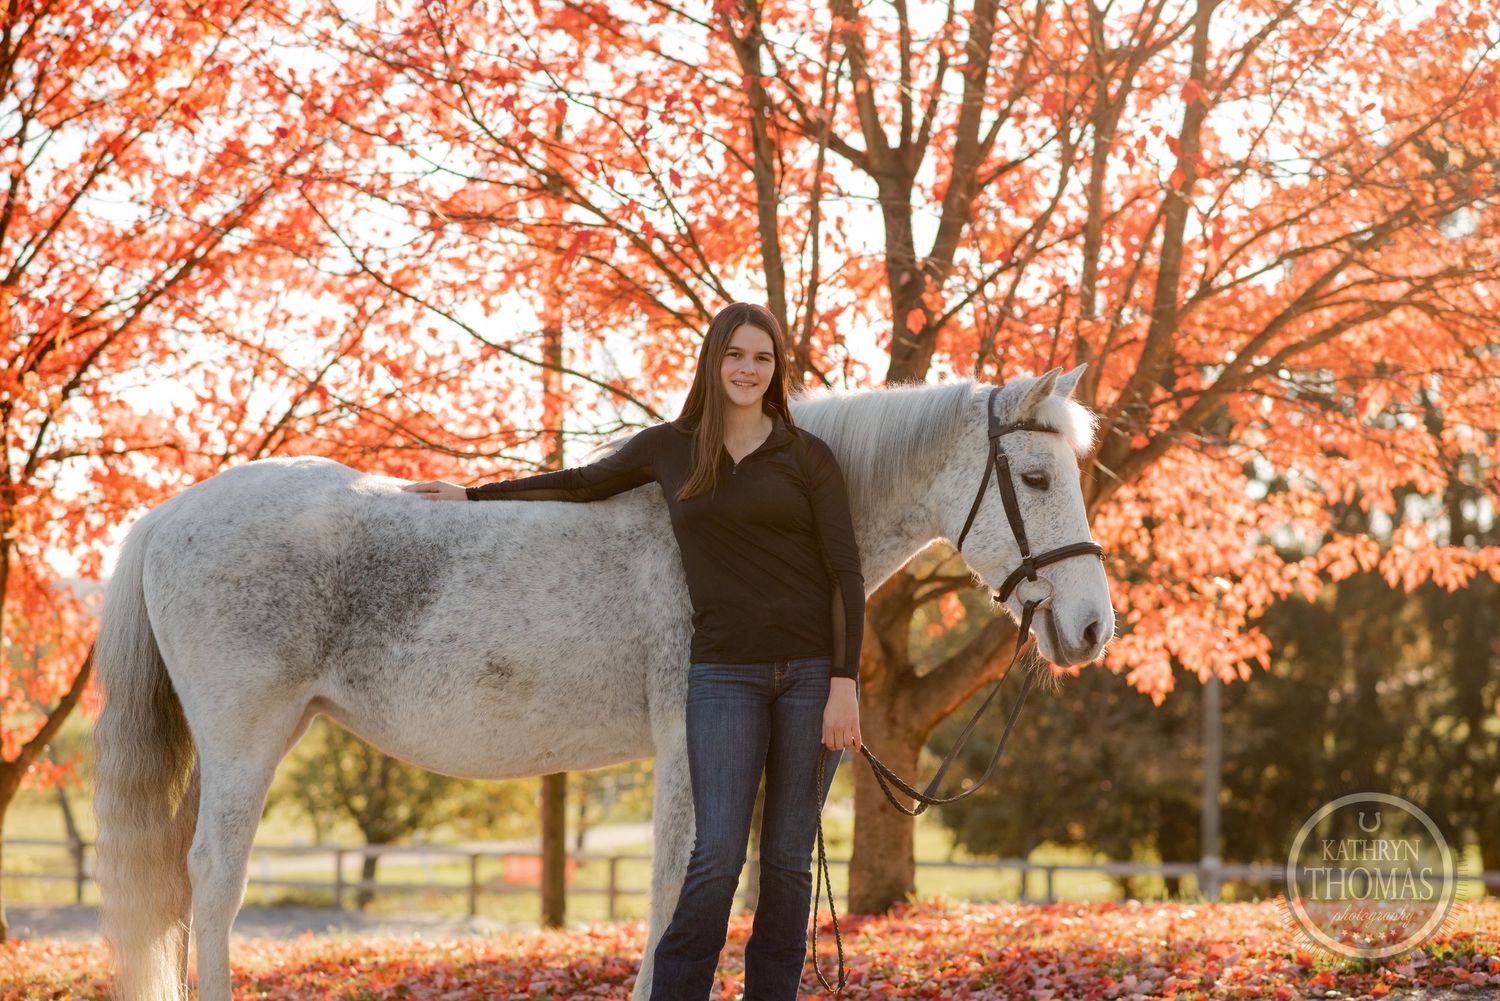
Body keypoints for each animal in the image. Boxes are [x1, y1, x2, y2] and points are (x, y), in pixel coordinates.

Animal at [92, 366, 1115, 1001]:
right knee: (212, 885)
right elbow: (674, 888)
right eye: (1034, 475)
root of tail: (166, 516)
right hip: (246, 743)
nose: (1094, 627)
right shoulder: (689, 741)